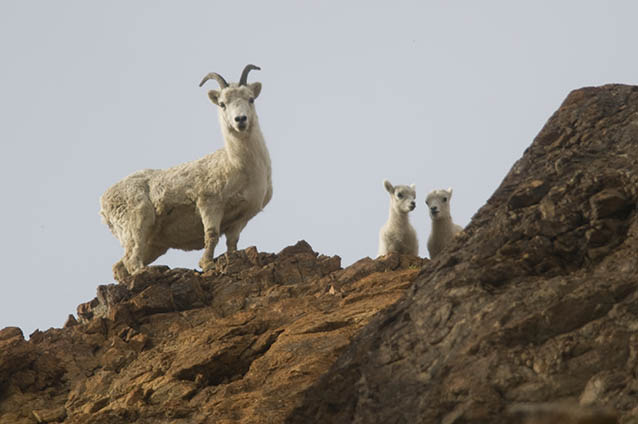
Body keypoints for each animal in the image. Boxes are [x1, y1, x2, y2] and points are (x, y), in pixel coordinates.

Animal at [100, 64, 272, 280]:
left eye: (250, 99)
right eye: (222, 104)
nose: (240, 120)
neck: (241, 167)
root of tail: (103, 202)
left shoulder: (240, 219)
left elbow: (232, 243)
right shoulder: (209, 204)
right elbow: (211, 235)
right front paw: (207, 264)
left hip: (152, 244)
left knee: (120, 266)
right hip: (137, 223)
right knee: (131, 261)